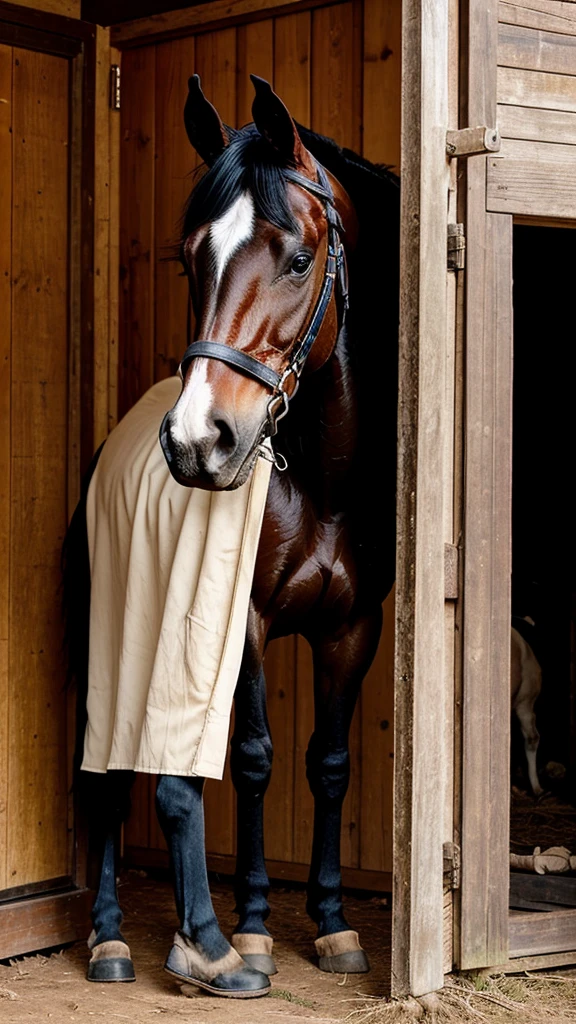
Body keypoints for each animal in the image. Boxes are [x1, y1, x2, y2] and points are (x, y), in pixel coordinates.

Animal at [61, 74, 393, 999]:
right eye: (190, 257)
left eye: (299, 257)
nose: (197, 440)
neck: (323, 478)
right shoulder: (238, 621)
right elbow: (251, 760)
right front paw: (249, 930)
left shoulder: (354, 629)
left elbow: (328, 764)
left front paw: (333, 923)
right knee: (101, 776)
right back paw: (109, 938)